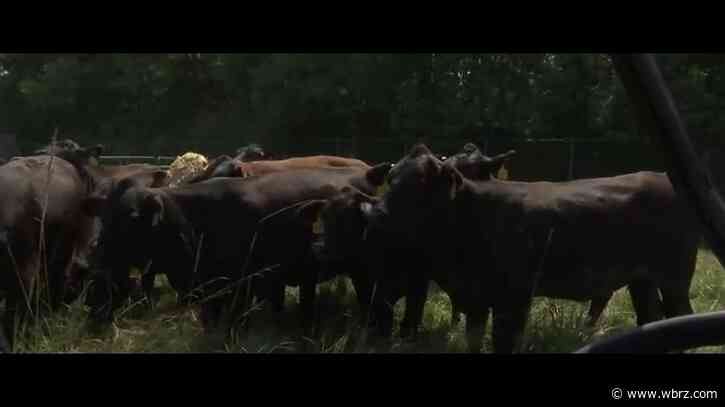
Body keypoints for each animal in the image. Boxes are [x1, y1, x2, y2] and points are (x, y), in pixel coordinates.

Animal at [81, 163, 390, 338]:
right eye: (104, 214)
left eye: (133, 217)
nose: (97, 250)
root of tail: (365, 173)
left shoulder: (240, 287)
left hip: (363, 271)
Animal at [360, 143, 701, 353]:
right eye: (392, 178)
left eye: (420, 182)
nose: (374, 213)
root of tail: (660, 176)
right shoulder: (475, 299)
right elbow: (474, 340)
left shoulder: (514, 298)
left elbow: (504, 342)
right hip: (641, 281)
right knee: (652, 317)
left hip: (675, 278)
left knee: (681, 313)